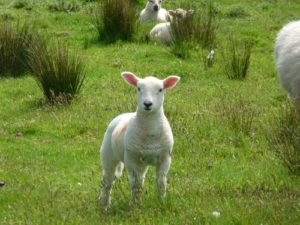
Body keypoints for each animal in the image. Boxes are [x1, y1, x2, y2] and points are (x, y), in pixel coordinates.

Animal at [99, 71, 180, 207]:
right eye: (138, 88)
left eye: (160, 89)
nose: (147, 104)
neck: (150, 132)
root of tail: (124, 114)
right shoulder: (132, 160)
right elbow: (136, 185)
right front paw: (136, 205)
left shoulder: (165, 158)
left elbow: (161, 182)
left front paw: (161, 201)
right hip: (108, 156)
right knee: (108, 182)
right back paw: (104, 204)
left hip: (143, 162)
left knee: (139, 178)